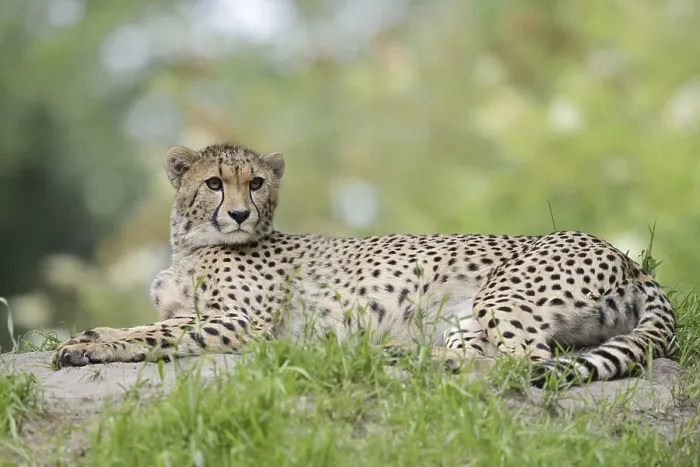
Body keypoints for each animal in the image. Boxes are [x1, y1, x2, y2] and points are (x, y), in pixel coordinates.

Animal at [52, 142, 676, 388]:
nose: (238, 213)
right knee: (486, 355)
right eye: (213, 183)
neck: (193, 243)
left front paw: (89, 346)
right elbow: (147, 323)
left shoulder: (241, 323)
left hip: (500, 297)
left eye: (256, 183)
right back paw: (402, 355)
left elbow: (152, 333)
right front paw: (87, 338)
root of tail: (631, 261)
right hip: (468, 314)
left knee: (525, 362)